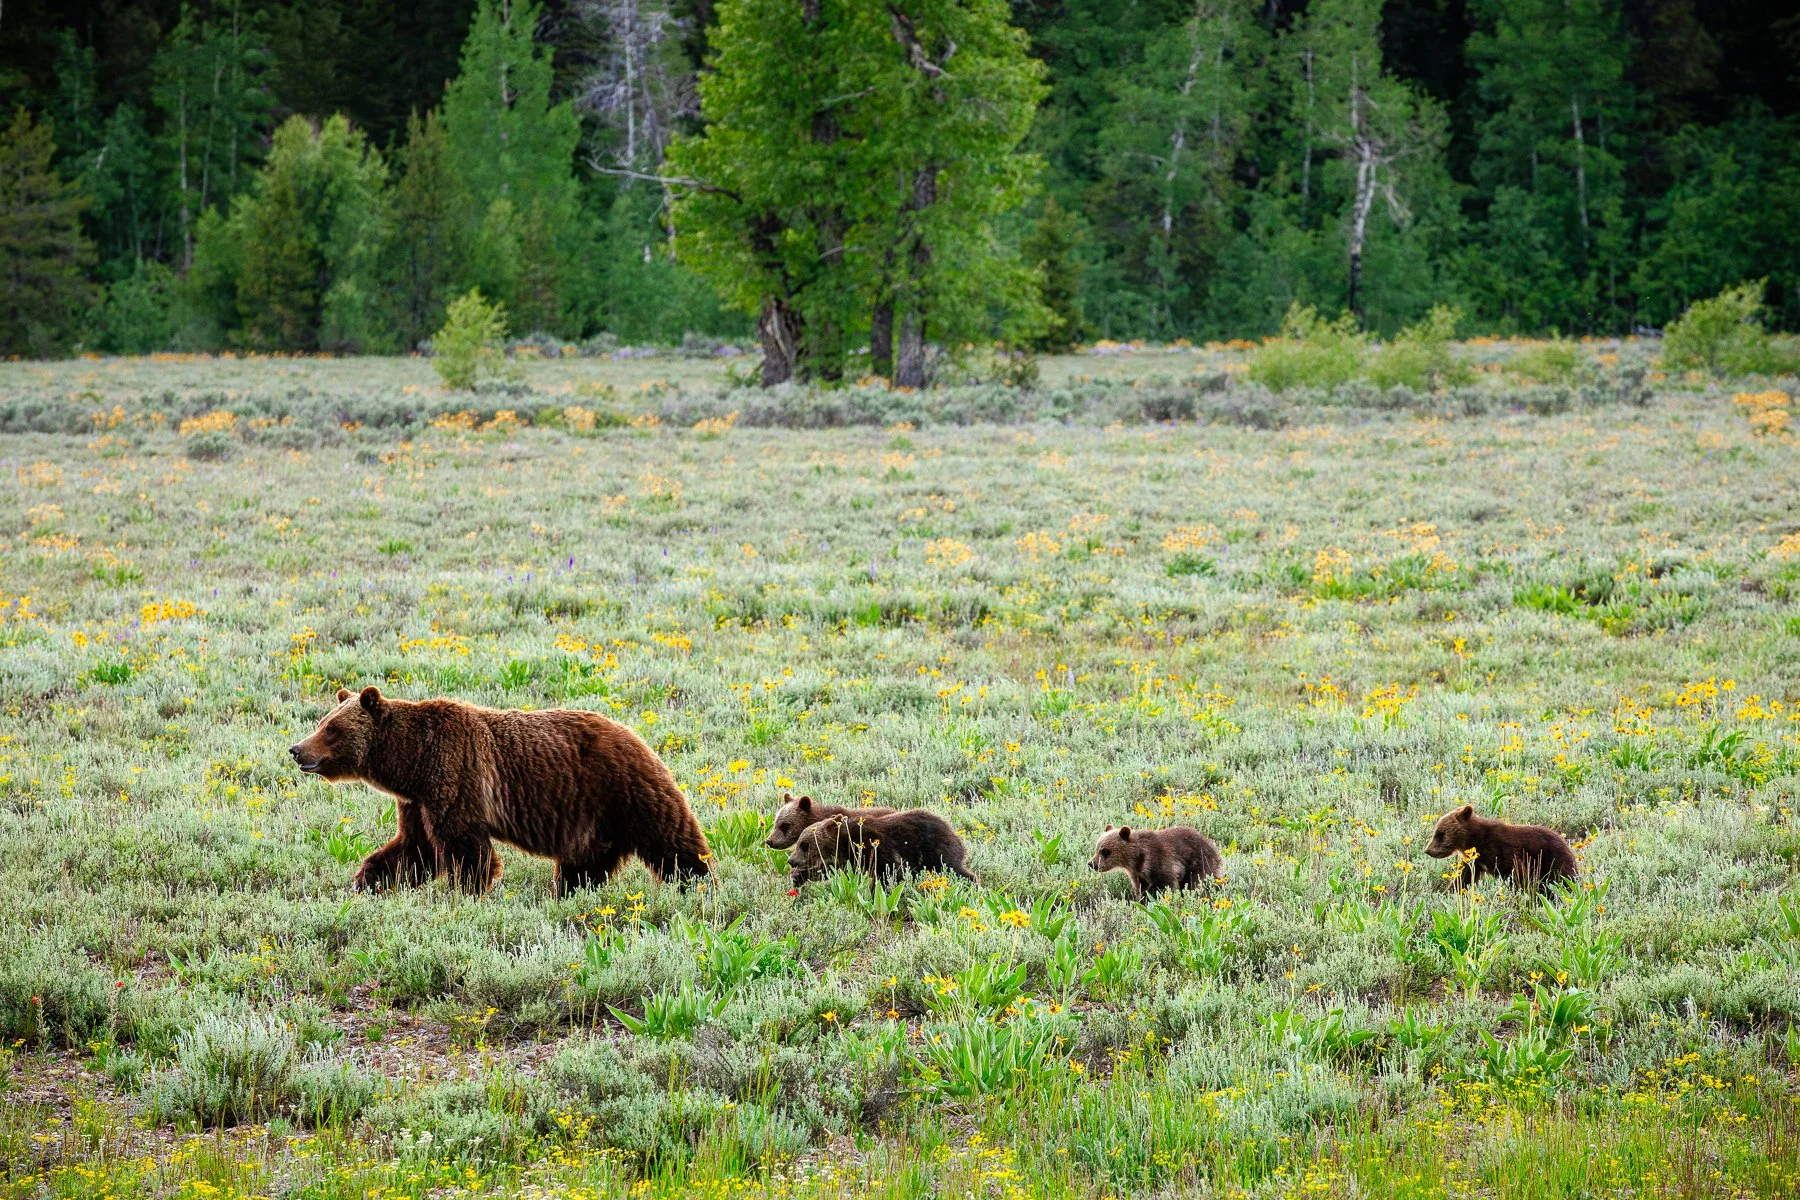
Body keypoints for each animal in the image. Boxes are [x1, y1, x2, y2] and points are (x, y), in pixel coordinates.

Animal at [289, 686, 711, 895]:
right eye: (322, 721)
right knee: (583, 865)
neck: (412, 760)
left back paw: (700, 885)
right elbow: (414, 848)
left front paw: (464, 892)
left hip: (622, 788)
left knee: (671, 841)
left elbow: (464, 848)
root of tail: (635, 734)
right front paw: (368, 880)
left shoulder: (456, 773)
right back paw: (568, 894)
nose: (297, 749)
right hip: (593, 819)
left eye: (332, 729)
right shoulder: (417, 799)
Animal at [785, 809, 976, 885]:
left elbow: (888, 870)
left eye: (804, 844)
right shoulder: (845, 859)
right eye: (799, 843)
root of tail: (953, 832)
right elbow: (828, 869)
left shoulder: (874, 845)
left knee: (953, 868)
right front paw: (798, 877)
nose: (791, 861)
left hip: (936, 850)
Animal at [1089, 824, 1222, 899]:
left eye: (1105, 851)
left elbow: (1166, 883)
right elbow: (1140, 888)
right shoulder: (1137, 874)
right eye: (1097, 848)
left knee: (1196, 882)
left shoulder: (1161, 861)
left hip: (1200, 862)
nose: (1092, 863)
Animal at [1424, 804, 1576, 887]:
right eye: (1436, 832)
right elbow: (1463, 879)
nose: (1428, 850)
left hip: (1553, 861)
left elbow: (1517, 873)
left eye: (1439, 834)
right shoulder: (1474, 861)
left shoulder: (1501, 850)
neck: (1475, 841)